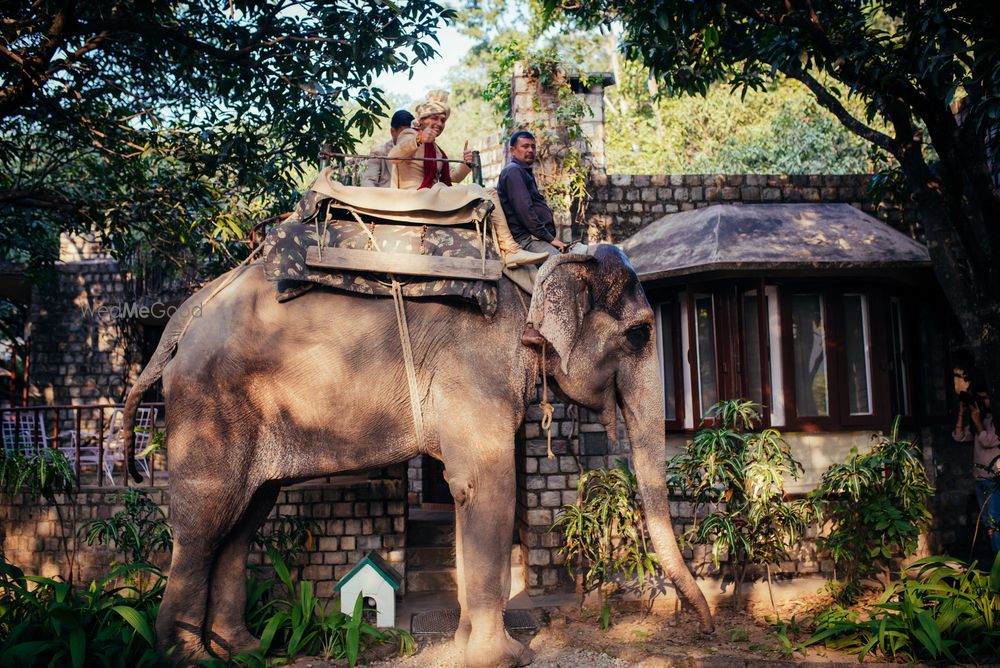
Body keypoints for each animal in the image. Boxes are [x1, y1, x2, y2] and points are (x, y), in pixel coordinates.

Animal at [123, 243, 712, 664]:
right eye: (640, 333)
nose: (702, 626)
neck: (537, 268)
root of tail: (183, 318)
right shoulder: (476, 369)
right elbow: (489, 488)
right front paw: (503, 658)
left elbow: (463, 492)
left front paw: (463, 644)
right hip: (209, 407)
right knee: (205, 523)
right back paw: (191, 658)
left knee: (244, 520)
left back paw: (243, 650)